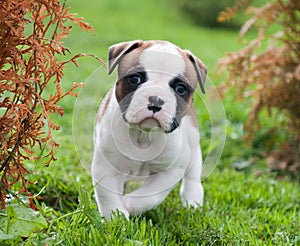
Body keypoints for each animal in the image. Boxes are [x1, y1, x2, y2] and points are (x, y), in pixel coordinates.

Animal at [92, 40, 206, 219]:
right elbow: (107, 195)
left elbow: (150, 195)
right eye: (135, 79)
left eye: (180, 89)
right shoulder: (105, 167)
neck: (144, 135)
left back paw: (192, 200)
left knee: (193, 176)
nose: (156, 100)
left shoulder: (171, 170)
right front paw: (115, 216)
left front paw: (129, 204)